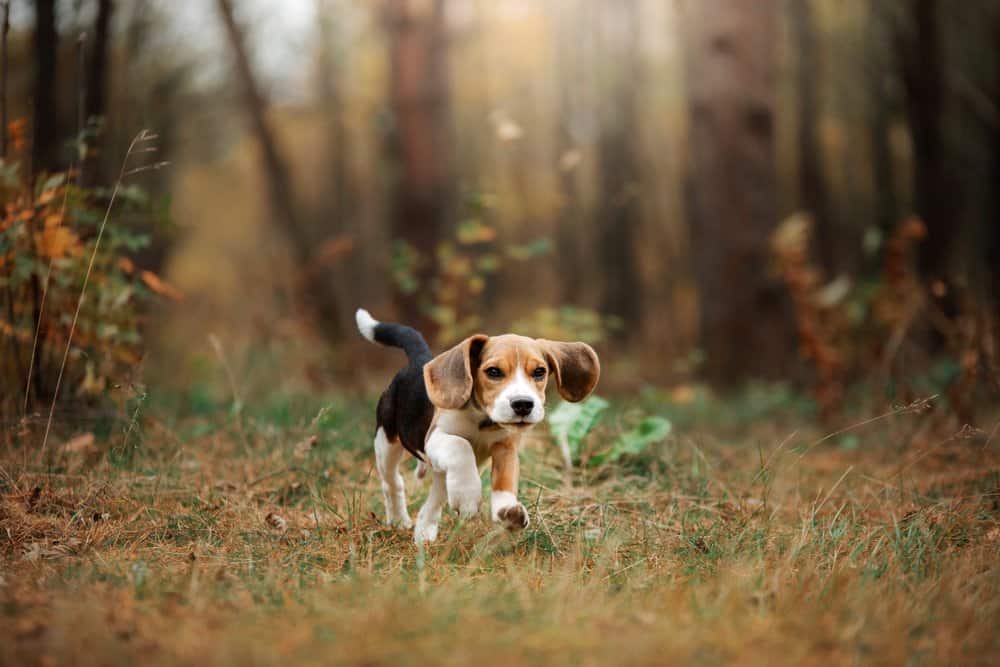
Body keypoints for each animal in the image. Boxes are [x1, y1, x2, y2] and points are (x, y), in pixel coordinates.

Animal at [356, 310, 596, 544]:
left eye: (539, 372)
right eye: (493, 372)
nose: (523, 404)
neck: (483, 420)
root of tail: (419, 360)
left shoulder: (506, 447)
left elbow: (505, 478)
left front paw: (506, 509)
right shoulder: (436, 437)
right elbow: (460, 445)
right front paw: (467, 497)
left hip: (439, 471)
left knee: (435, 497)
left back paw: (424, 531)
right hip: (386, 442)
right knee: (393, 482)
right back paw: (399, 520)